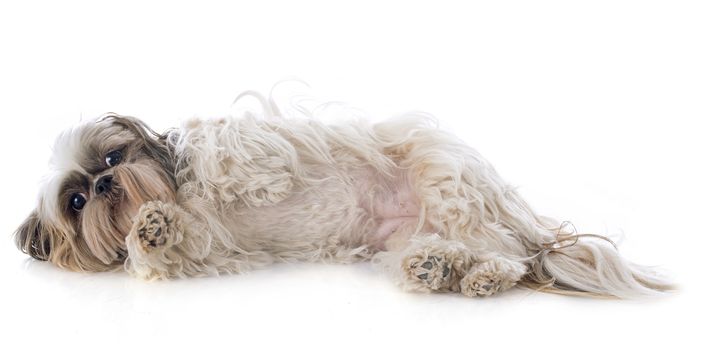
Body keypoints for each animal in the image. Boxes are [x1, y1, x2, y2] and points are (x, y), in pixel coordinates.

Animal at [12, 92, 672, 298]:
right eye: (76, 202)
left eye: (111, 159)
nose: (102, 184)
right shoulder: (208, 249)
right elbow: (170, 246)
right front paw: (149, 230)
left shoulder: (242, 138)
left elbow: (225, 152)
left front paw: (243, 181)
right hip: (411, 237)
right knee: (467, 252)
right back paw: (438, 269)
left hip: (446, 180)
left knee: (509, 255)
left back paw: (481, 274)